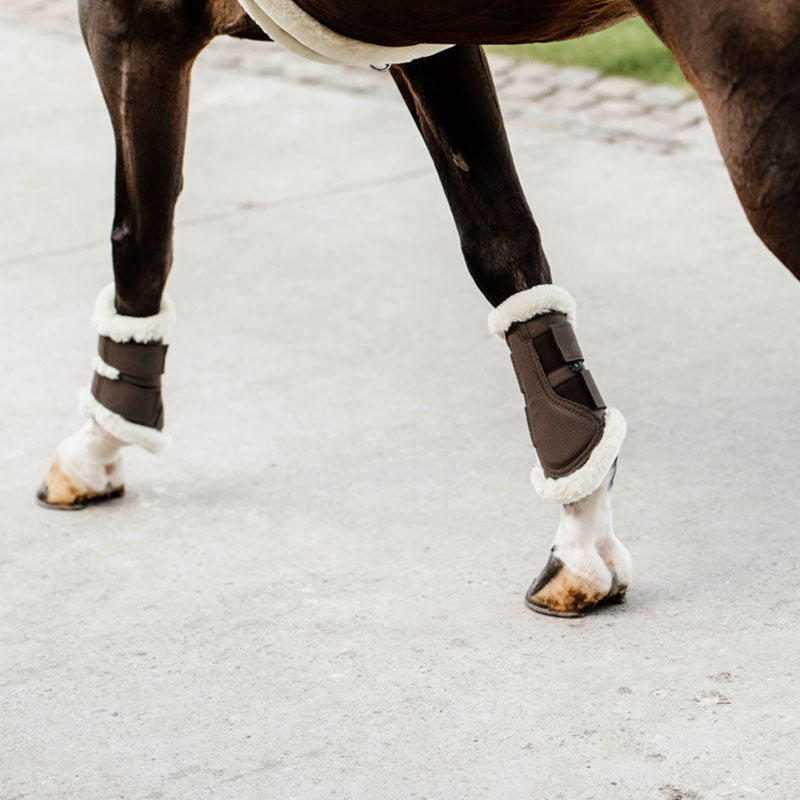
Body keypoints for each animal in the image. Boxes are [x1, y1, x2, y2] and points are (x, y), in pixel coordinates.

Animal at [37, 0, 800, 617]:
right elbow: (502, 243)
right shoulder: (428, 38)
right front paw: (582, 531)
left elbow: (139, 243)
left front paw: (99, 442)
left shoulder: (134, 24)